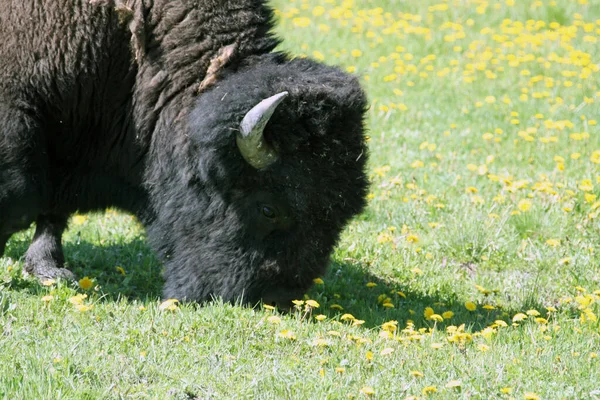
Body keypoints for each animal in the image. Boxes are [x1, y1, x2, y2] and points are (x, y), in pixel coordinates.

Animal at [0, 0, 368, 306]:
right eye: (268, 209)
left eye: (343, 215)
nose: (275, 297)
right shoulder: (20, 121)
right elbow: (22, 201)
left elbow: (53, 210)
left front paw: (48, 269)